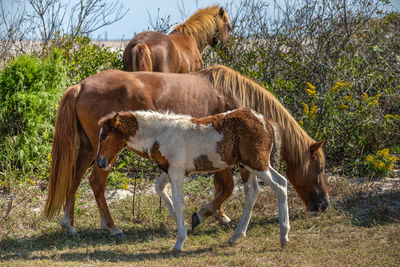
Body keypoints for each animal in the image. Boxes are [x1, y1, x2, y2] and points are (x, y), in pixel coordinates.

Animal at [97, 107, 290, 253]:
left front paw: (179, 242)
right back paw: (236, 236)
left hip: (256, 163)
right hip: (249, 165)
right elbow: (159, 188)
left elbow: (178, 200)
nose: (100, 162)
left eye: (104, 136)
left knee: (279, 185)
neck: (161, 135)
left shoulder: (176, 170)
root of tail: (265, 121)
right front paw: (180, 221)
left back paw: (284, 236)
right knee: (254, 191)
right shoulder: (171, 170)